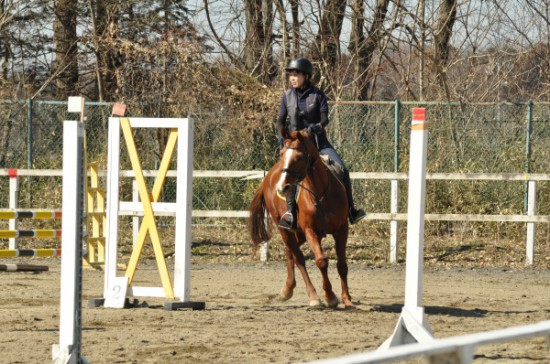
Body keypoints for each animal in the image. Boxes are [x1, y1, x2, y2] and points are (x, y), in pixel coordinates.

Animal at [249, 128, 354, 308]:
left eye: (299, 157)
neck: (319, 193)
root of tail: (268, 177)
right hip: (285, 229)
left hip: (299, 233)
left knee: (289, 252)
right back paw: (312, 296)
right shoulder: (310, 230)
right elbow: (321, 261)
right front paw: (330, 296)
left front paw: (347, 299)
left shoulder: (341, 229)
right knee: (298, 258)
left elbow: (342, 264)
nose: (282, 187)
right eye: (282, 154)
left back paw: (287, 290)